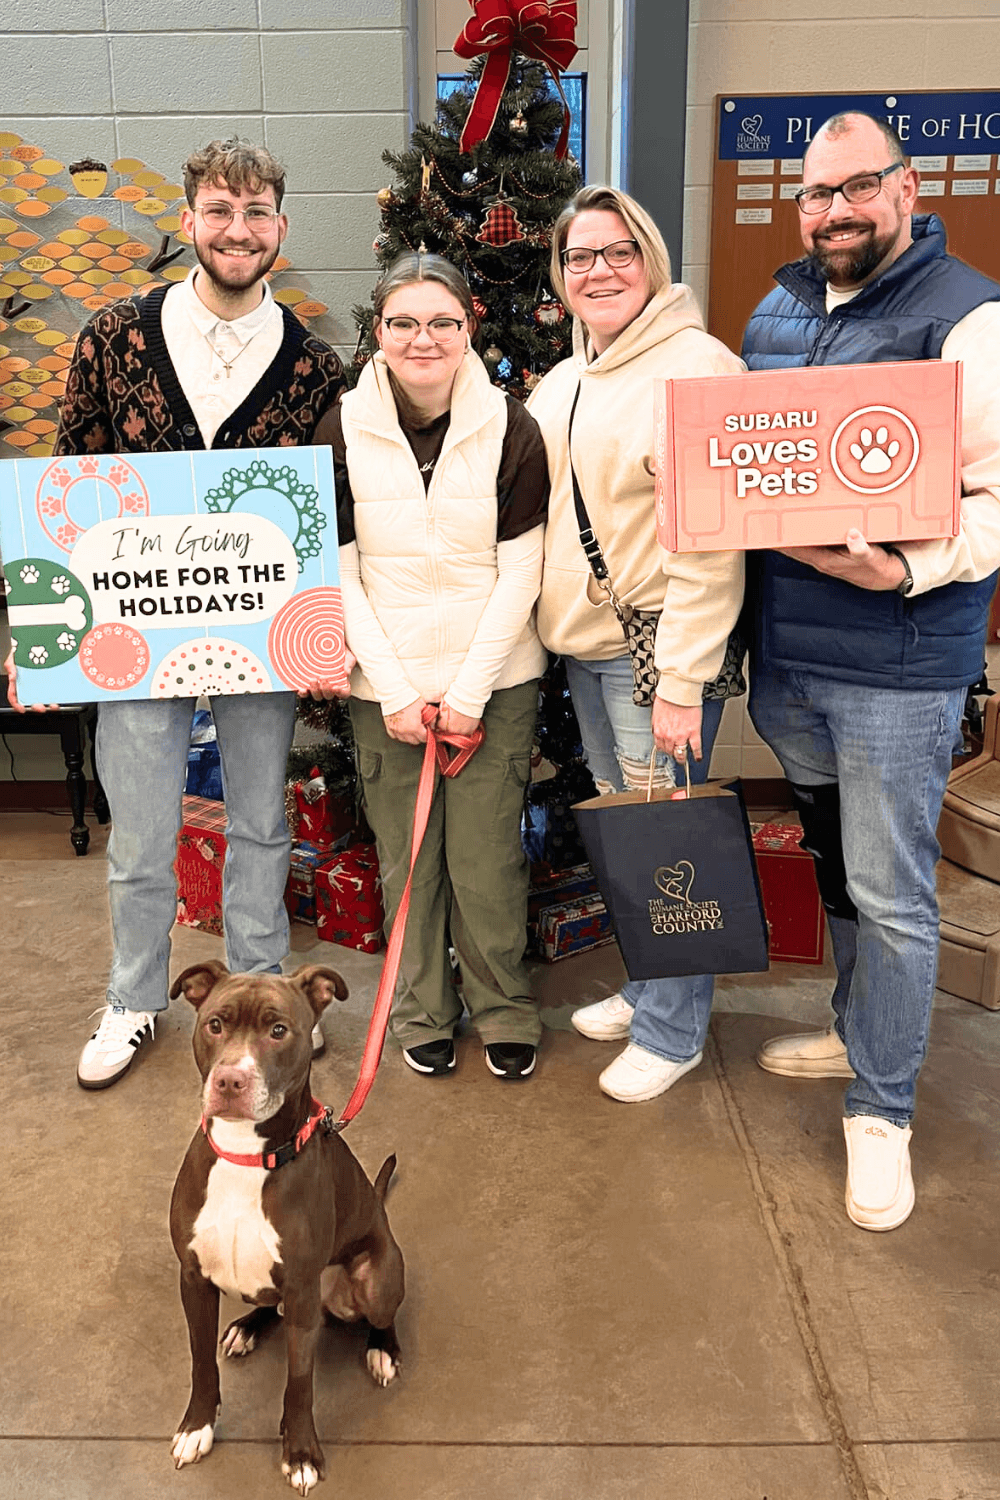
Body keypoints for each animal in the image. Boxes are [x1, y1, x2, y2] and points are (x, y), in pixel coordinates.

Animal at [170, 966, 404, 1494]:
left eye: (278, 1030)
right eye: (215, 1025)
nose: (230, 1079)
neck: (246, 1154)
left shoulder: (300, 1290)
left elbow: (299, 1384)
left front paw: (299, 1453)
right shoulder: (193, 1278)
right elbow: (199, 1362)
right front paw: (197, 1427)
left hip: (373, 1278)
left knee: (383, 1315)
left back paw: (383, 1350)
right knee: (265, 1304)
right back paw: (247, 1327)